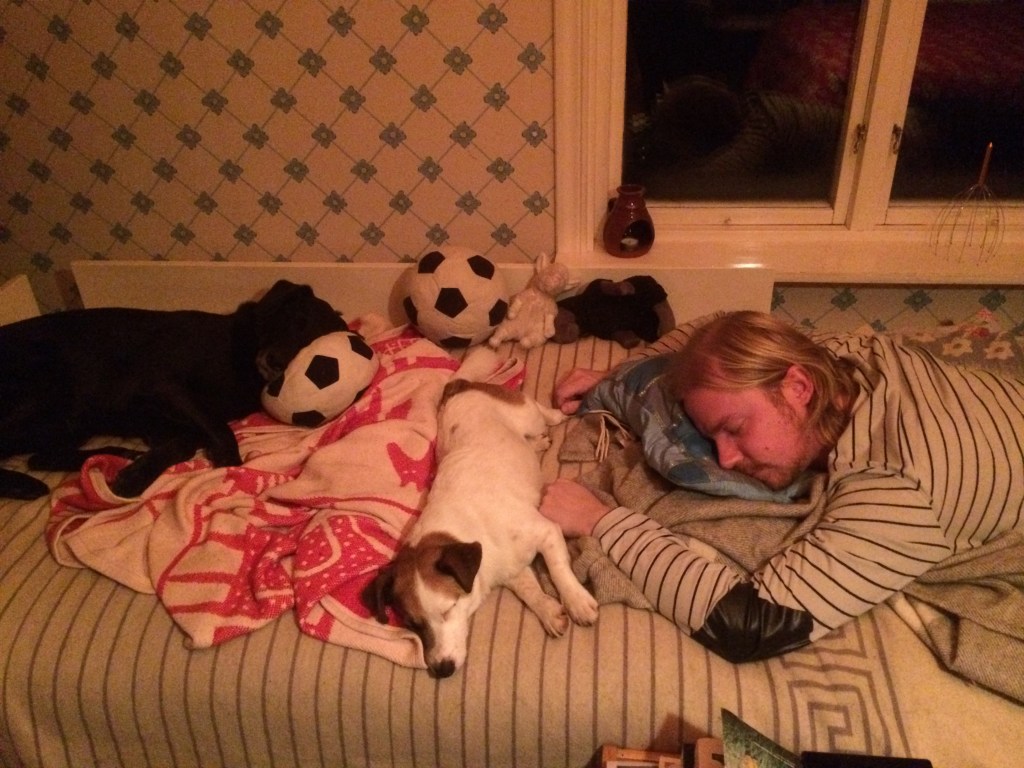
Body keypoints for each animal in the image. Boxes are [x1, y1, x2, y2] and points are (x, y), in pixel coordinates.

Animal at [0, 279, 346, 501]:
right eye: (293, 318)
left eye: (311, 345)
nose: (275, 362)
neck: (241, 353)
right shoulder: (165, 385)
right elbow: (215, 427)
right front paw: (228, 457)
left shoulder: (155, 419)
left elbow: (185, 441)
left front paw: (136, 472)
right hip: (47, 388)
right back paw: (22, 484)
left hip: (71, 418)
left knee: (41, 458)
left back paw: (115, 454)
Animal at [362, 366, 600, 677]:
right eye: (413, 624)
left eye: (449, 609)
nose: (441, 670)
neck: (467, 532)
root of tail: (459, 387)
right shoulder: (509, 567)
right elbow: (529, 590)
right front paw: (548, 611)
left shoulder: (546, 531)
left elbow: (559, 571)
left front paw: (577, 602)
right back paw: (538, 444)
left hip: (526, 414)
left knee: (541, 413)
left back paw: (557, 416)